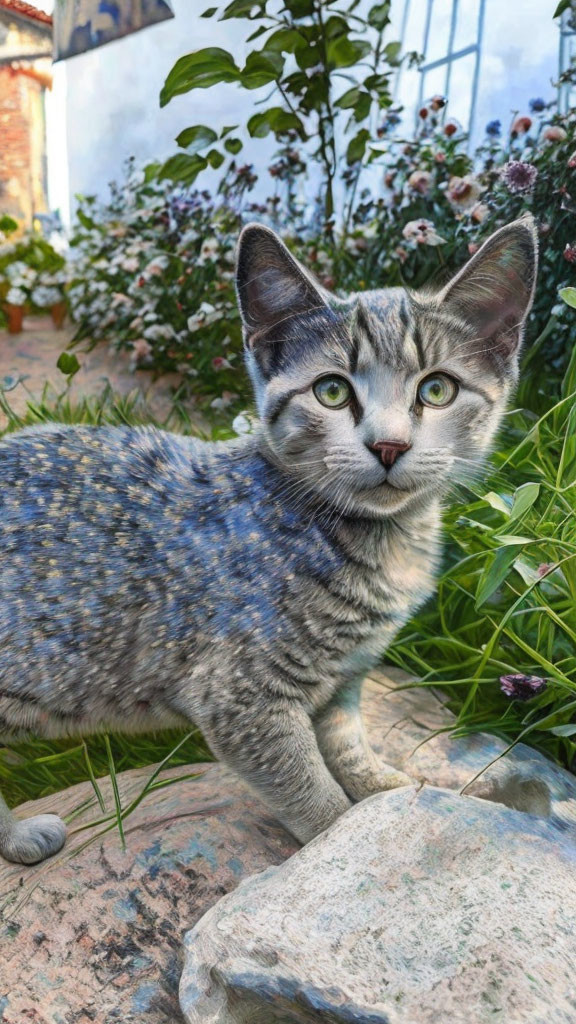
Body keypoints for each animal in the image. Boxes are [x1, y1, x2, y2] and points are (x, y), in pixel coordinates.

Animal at [0, 216, 537, 864]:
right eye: (331, 392)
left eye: (437, 390)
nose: (389, 445)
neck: (380, 542)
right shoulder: (240, 697)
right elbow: (310, 793)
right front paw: (338, 842)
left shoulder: (346, 676)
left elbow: (348, 744)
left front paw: (386, 788)